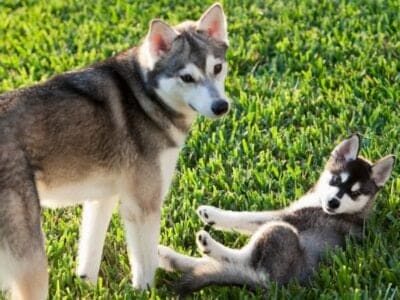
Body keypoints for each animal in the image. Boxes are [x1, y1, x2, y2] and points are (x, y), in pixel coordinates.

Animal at [0, 2, 228, 300]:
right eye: (187, 77)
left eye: (218, 68)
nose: (221, 106)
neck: (146, 96)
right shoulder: (143, 206)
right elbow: (146, 264)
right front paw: (144, 292)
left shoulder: (102, 198)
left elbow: (90, 251)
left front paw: (86, 284)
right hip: (32, 259)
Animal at [159, 135, 394, 296]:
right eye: (336, 180)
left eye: (355, 193)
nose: (333, 203)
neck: (354, 211)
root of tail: (272, 284)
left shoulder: (286, 217)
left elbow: (247, 217)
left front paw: (213, 214)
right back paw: (168, 258)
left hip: (281, 232)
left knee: (237, 260)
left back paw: (205, 244)